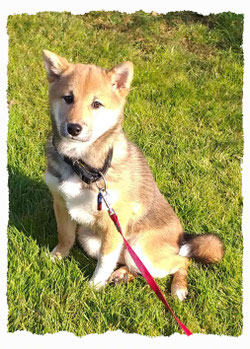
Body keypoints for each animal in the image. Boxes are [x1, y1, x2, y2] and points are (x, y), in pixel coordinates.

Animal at [42, 49, 224, 300]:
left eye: (96, 104)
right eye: (68, 98)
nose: (74, 128)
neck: (82, 163)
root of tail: (181, 238)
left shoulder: (114, 221)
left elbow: (105, 260)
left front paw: (94, 286)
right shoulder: (60, 203)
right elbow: (65, 237)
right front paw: (56, 256)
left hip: (140, 246)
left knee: (179, 261)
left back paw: (178, 287)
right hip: (90, 239)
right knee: (134, 265)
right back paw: (121, 275)